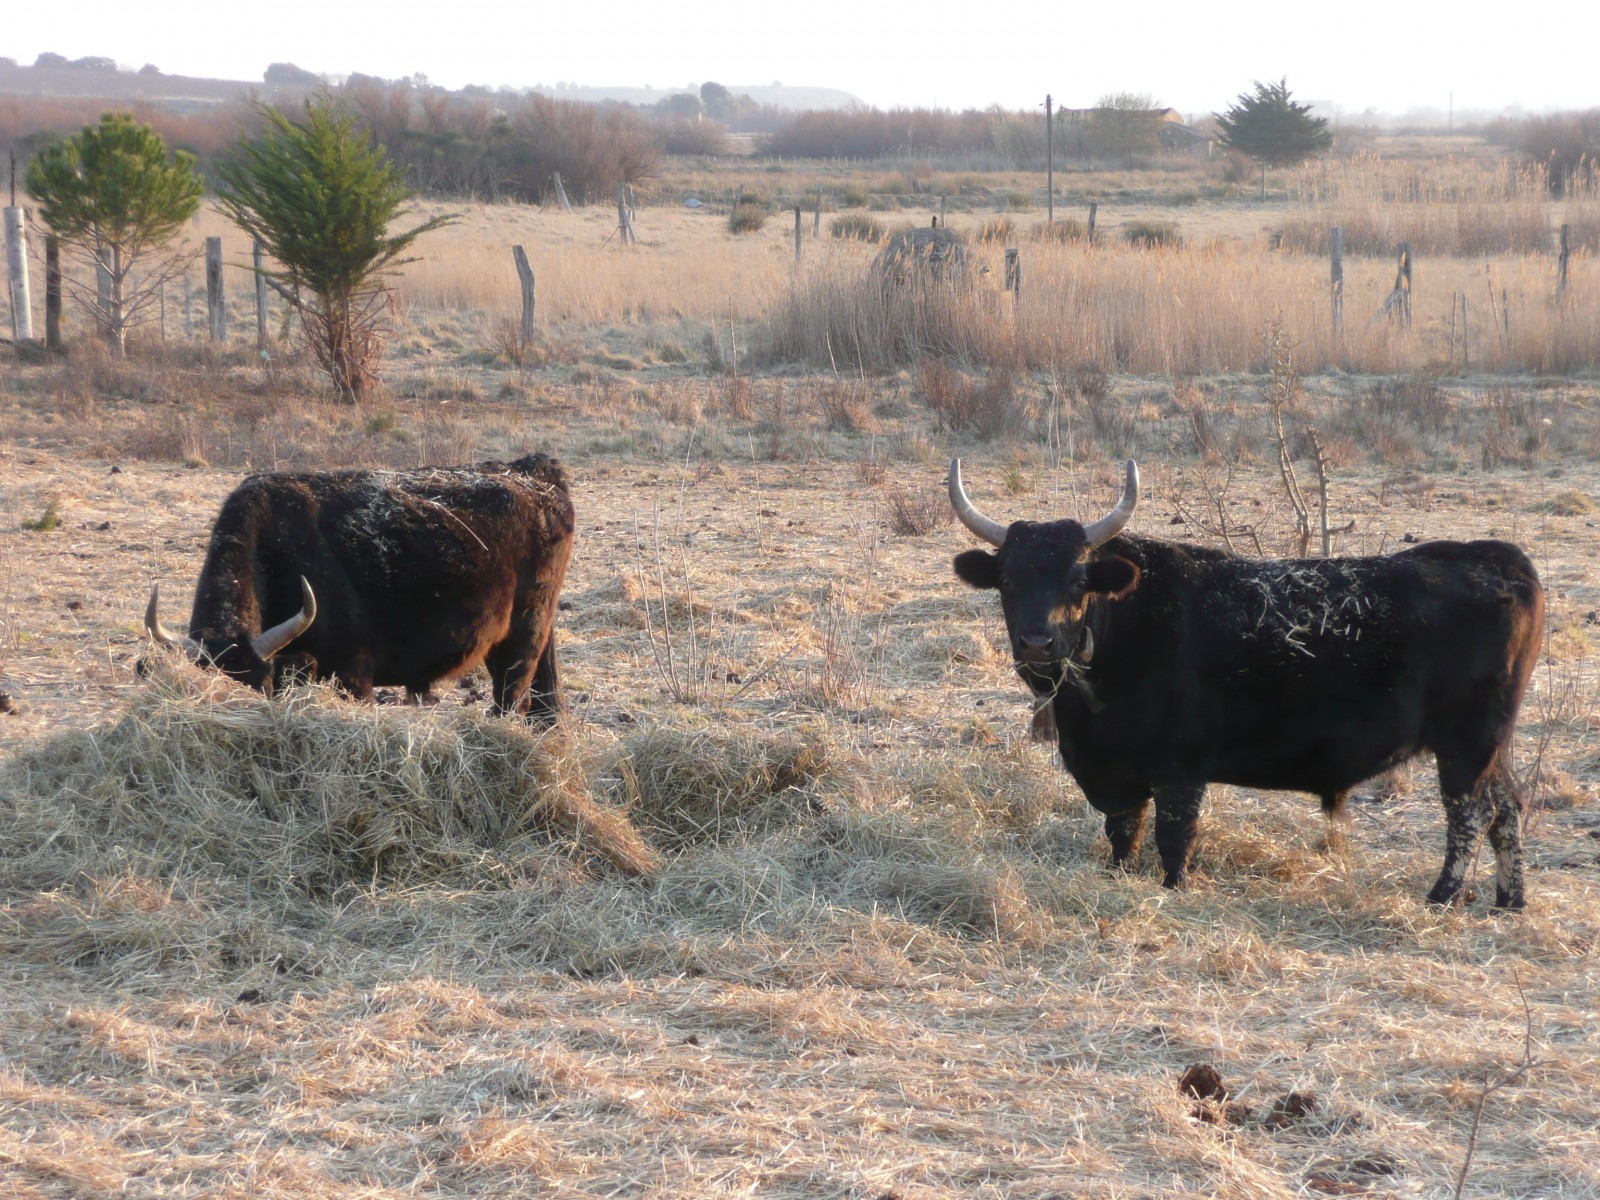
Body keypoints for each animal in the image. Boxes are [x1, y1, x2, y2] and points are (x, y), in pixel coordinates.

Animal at [145, 454, 576, 723]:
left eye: (258, 686)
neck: (278, 543)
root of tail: (533, 471)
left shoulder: (353, 674)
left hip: (522, 638)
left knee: (512, 697)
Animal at [947, 460, 1548, 908]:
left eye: (1077, 580)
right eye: (1007, 580)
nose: (1036, 643)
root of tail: (1493, 556)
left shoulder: (1179, 769)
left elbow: (1173, 838)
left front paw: (1174, 889)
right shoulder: (1119, 775)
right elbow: (1123, 835)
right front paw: (1119, 879)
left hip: (1466, 747)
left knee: (1471, 814)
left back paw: (1442, 896)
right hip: (1493, 746)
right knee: (1508, 808)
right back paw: (1509, 901)